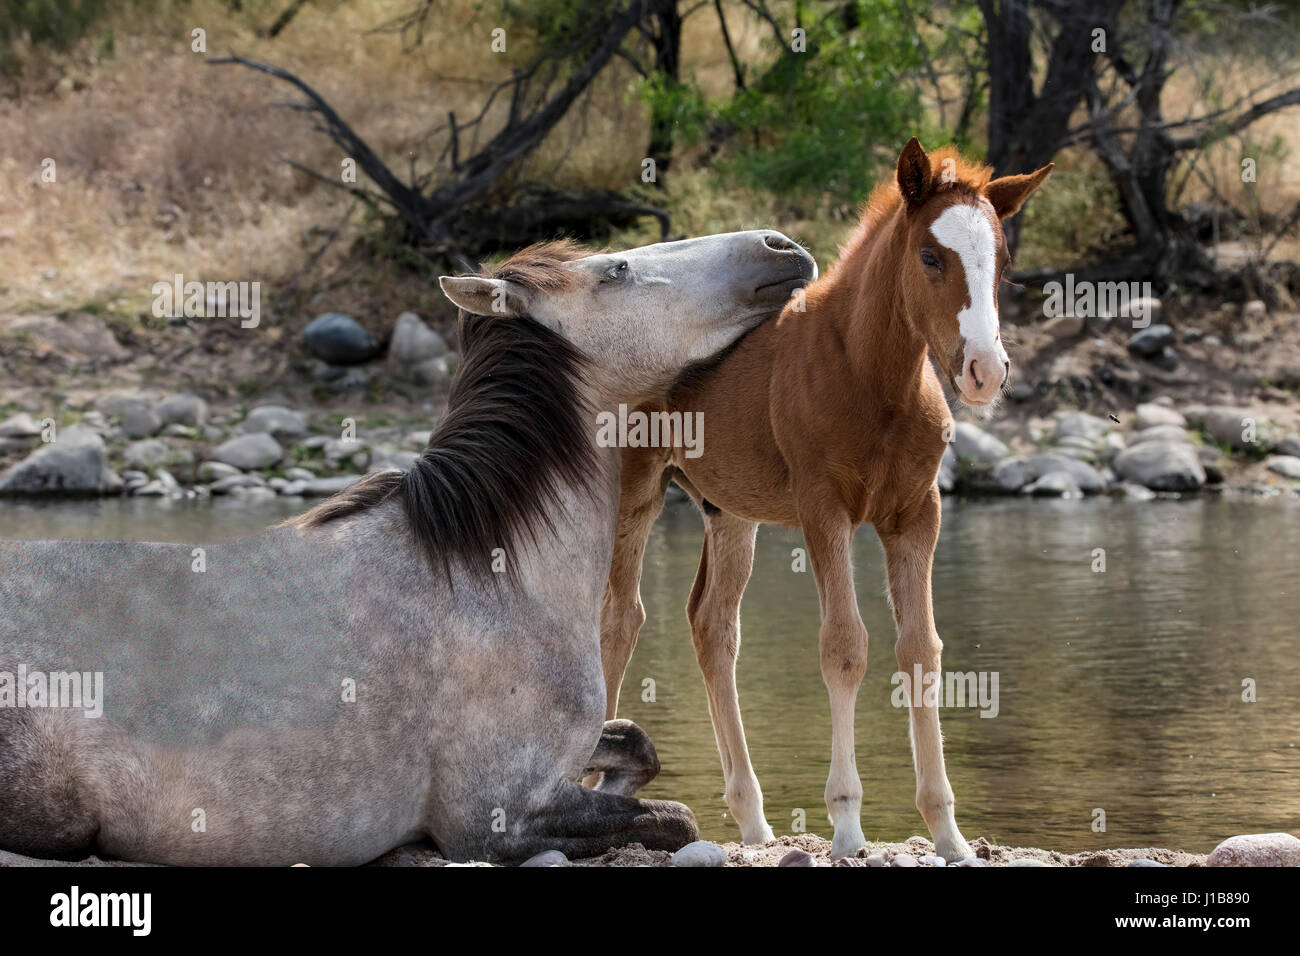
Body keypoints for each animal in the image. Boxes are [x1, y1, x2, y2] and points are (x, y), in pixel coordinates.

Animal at [0, 230, 811, 868]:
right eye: (616, 269)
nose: (782, 247)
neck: (494, 572)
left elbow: (638, 745)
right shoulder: (498, 818)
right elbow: (674, 817)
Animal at [603, 140, 1050, 858]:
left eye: (1003, 263)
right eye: (930, 256)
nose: (986, 371)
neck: (872, 378)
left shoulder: (916, 514)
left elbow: (921, 651)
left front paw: (948, 832)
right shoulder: (824, 512)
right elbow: (845, 647)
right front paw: (845, 822)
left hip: (730, 512)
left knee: (712, 625)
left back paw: (753, 819)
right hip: (636, 486)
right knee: (620, 619)